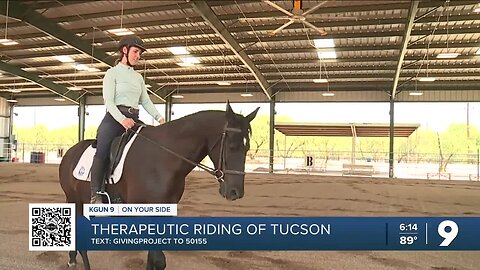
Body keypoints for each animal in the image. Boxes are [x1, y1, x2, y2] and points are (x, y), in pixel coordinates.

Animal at [59, 102, 258, 268]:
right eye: (232, 147)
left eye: (247, 147)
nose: (235, 192)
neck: (164, 157)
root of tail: (69, 153)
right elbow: (158, 259)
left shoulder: (165, 212)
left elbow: (154, 258)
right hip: (74, 200)